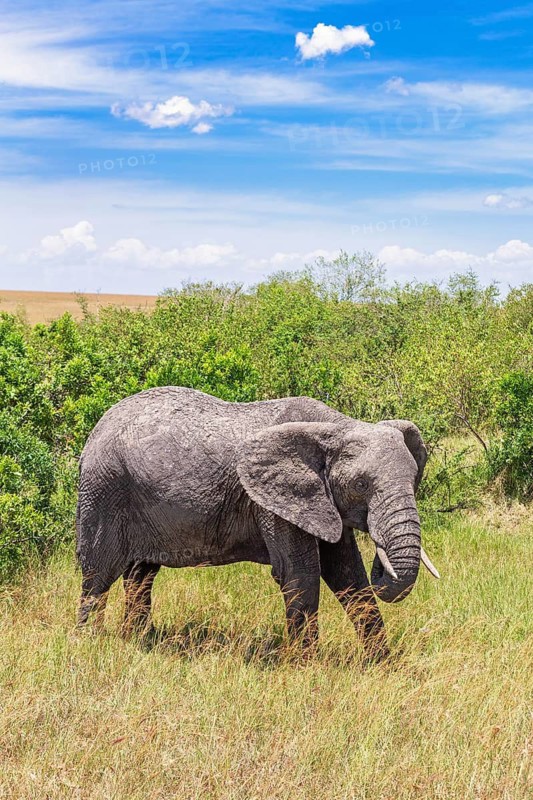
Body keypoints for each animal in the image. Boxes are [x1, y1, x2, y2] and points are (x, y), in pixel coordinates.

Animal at [76, 387, 439, 658]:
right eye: (361, 484)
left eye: (414, 479)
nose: (384, 559)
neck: (334, 427)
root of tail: (97, 427)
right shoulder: (271, 501)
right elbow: (300, 573)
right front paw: (307, 668)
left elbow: (347, 573)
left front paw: (381, 665)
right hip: (103, 490)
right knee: (97, 575)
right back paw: (90, 643)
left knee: (141, 576)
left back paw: (138, 641)